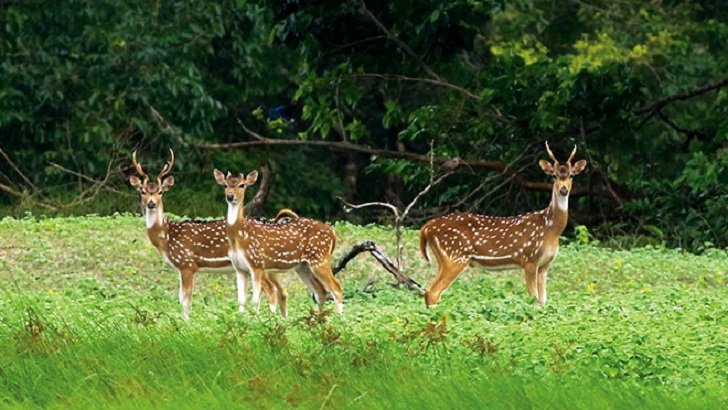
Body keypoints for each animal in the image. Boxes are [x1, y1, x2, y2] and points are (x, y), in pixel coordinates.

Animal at [129, 151, 296, 320]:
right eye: (142, 191)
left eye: (160, 191)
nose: (151, 203)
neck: (167, 237)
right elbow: (181, 298)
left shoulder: (187, 263)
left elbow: (185, 299)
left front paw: (186, 322)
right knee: (282, 291)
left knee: (271, 289)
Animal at [213, 168, 344, 316]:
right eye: (225, 185)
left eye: (242, 185)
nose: (230, 196)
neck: (240, 237)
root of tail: (333, 233)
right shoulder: (239, 268)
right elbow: (242, 300)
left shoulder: (257, 264)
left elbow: (256, 299)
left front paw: (262, 317)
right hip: (303, 266)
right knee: (321, 290)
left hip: (320, 258)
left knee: (337, 288)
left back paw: (339, 317)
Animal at [420, 144, 584, 308]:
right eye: (554, 176)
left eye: (571, 175)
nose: (563, 190)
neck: (551, 229)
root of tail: (427, 227)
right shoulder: (529, 258)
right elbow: (533, 298)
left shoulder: (545, 264)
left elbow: (543, 301)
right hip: (455, 256)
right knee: (433, 291)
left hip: (445, 258)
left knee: (429, 291)